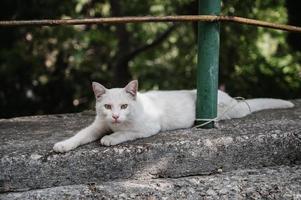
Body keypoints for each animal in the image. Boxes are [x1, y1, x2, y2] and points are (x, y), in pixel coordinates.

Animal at [52, 80, 292, 152]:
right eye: (108, 107)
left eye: (124, 106)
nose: (116, 117)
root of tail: (233, 99)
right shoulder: (98, 124)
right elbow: (81, 135)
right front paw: (64, 145)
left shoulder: (148, 127)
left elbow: (125, 133)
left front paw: (110, 138)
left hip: (228, 110)